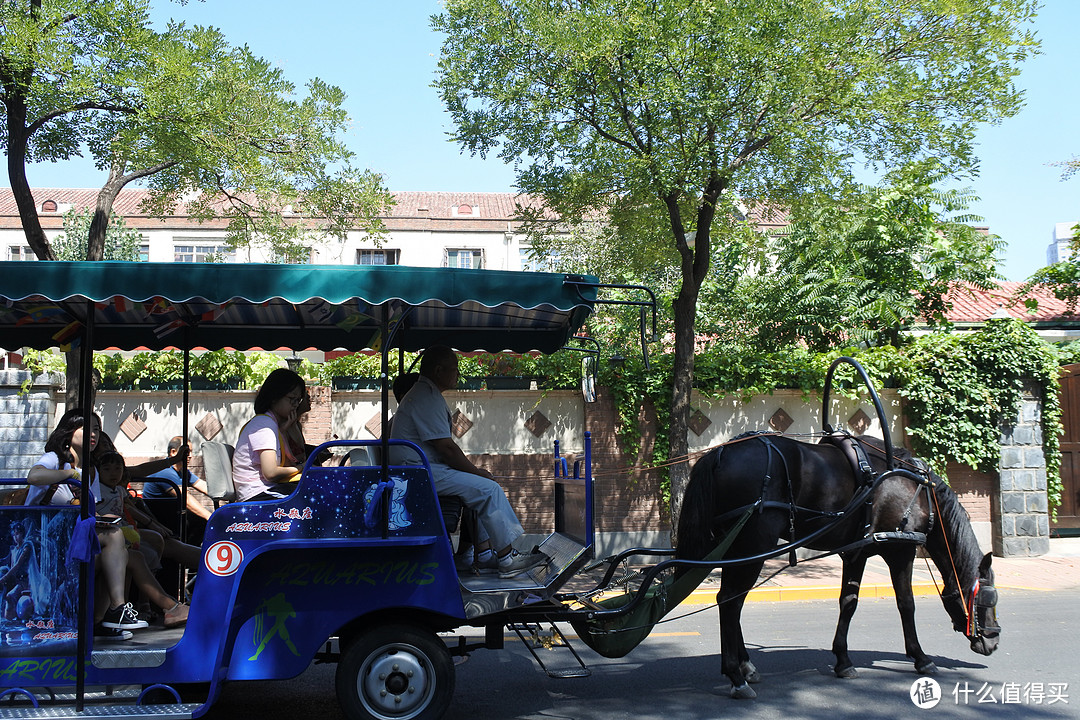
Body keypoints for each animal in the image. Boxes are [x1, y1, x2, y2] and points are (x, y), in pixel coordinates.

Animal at [678, 433, 997, 699]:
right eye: (988, 598)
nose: (993, 641)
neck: (919, 490)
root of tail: (720, 453)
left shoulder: (856, 553)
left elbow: (848, 602)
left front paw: (843, 660)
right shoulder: (901, 550)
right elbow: (906, 603)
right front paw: (921, 658)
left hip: (735, 547)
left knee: (730, 600)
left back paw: (744, 666)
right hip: (754, 545)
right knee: (731, 602)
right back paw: (736, 675)